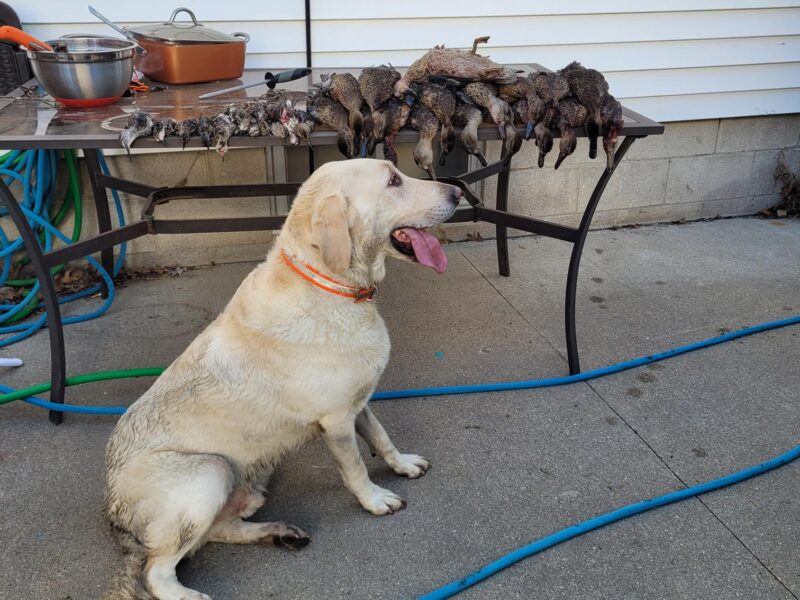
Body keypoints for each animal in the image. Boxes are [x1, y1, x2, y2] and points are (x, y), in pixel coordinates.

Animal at [103, 159, 460, 600]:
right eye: (393, 180)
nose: (458, 192)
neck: (329, 283)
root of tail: (114, 515)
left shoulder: (358, 404)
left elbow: (382, 438)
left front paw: (404, 465)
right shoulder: (337, 421)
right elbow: (356, 468)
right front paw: (375, 500)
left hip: (247, 486)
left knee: (220, 530)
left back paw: (279, 533)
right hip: (210, 471)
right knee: (157, 572)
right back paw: (189, 593)